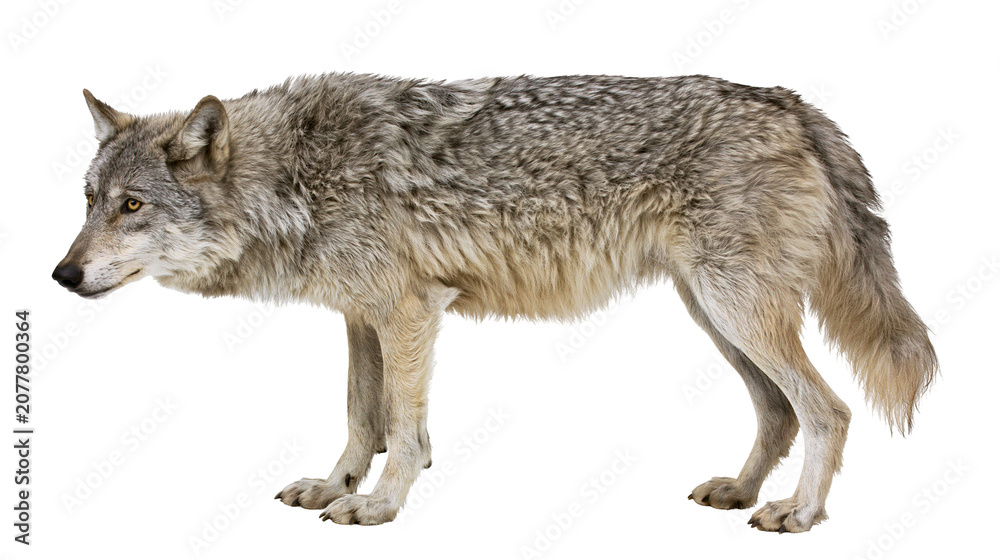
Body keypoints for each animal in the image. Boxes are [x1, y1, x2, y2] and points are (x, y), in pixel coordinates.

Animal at [53, 73, 937, 531]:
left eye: (132, 207)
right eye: (90, 201)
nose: (61, 274)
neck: (295, 178)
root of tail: (793, 102)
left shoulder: (410, 312)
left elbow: (403, 431)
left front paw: (380, 504)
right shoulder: (363, 318)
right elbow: (360, 420)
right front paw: (337, 486)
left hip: (736, 313)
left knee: (828, 411)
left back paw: (799, 513)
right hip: (716, 317)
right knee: (780, 413)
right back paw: (743, 493)